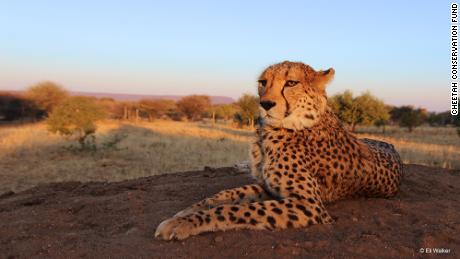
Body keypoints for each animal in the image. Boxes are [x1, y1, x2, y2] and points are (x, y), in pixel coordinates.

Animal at [155, 61, 402, 242]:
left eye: (291, 82)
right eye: (262, 82)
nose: (265, 104)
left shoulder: (308, 205)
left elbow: (235, 210)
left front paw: (184, 223)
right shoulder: (267, 186)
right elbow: (226, 195)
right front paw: (186, 212)